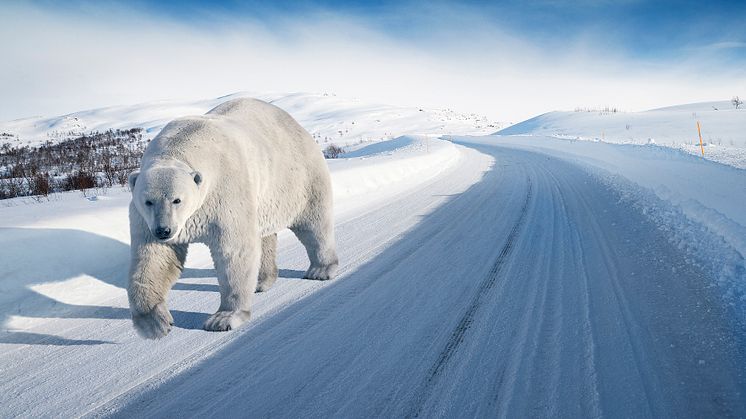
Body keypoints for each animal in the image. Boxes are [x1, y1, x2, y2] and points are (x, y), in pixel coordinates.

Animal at [127, 99, 338, 342]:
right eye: (148, 201)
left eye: (177, 199)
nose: (164, 231)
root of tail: (297, 124)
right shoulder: (145, 219)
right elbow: (154, 257)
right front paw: (155, 324)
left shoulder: (225, 193)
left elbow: (234, 251)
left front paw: (223, 319)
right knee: (263, 235)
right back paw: (261, 281)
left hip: (298, 178)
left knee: (314, 223)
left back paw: (321, 270)